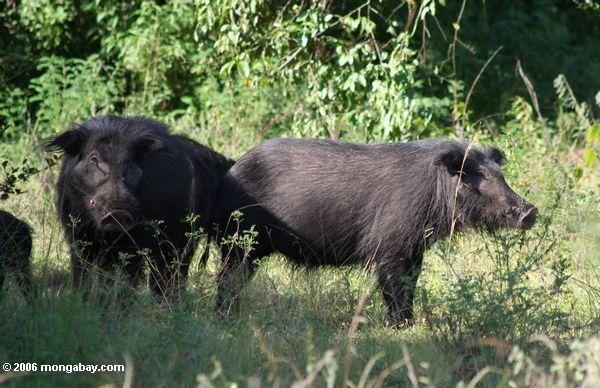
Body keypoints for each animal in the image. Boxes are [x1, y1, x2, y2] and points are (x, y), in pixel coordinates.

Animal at [45, 116, 233, 296]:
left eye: (128, 162)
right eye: (94, 159)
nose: (117, 212)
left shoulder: (135, 241)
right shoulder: (76, 234)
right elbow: (83, 272)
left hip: (185, 237)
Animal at [216, 138, 540, 326]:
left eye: (501, 174)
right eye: (479, 175)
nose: (530, 211)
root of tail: (230, 171)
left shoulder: (415, 248)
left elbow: (410, 285)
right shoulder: (389, 245)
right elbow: (393, 288)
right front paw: (402, 327)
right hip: (242, 239)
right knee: (226, 278)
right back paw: (225, 317)